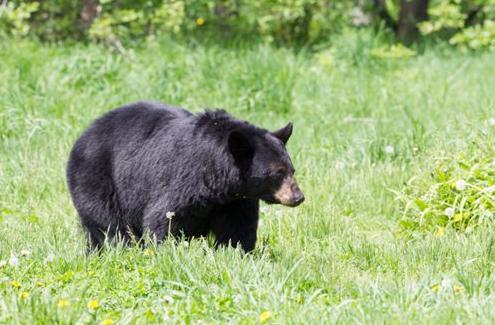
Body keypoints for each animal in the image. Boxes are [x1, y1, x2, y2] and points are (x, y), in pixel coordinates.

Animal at [67, 100, 304, 252]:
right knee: (109, 226)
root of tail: (83, 135)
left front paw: (237, 252)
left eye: (291, 170)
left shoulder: (235, 200)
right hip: (96, 179)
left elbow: (237, 229)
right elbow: (164, 219)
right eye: (277, 173)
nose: (298, 197)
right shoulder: (183, 180)